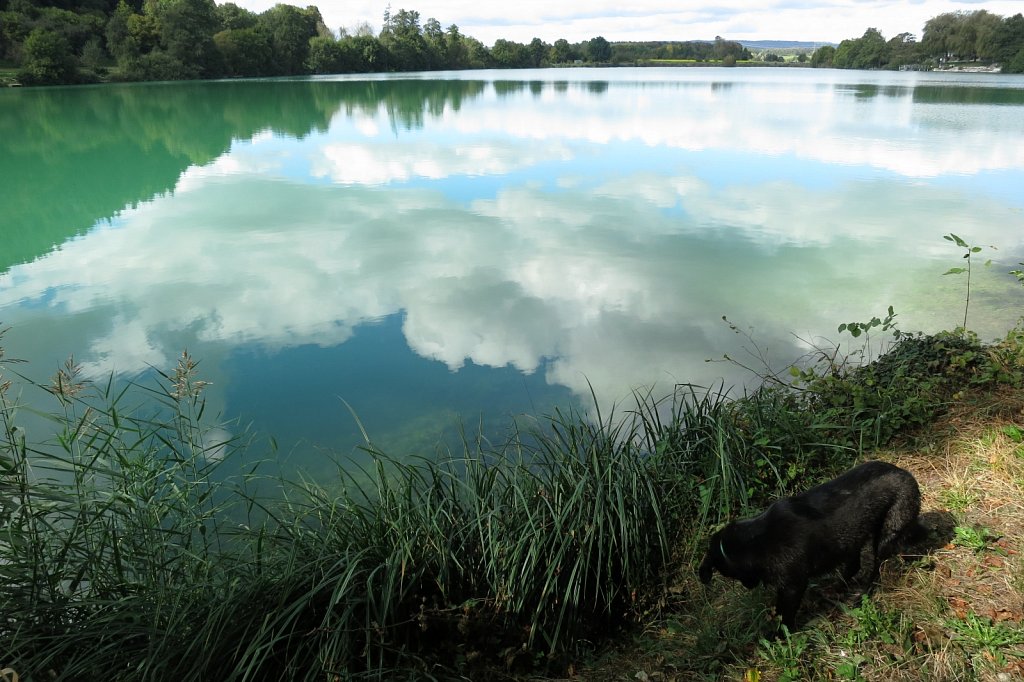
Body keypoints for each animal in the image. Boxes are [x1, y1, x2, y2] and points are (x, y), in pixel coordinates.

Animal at [696, 458, 921, 630]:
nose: (748, 586)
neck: (755, 541)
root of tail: (906, 473)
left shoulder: (792, 586)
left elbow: (785, 615)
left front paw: (780, 635)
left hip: (885, 534)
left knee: (874, 569)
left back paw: (861, 593)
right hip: (852, 538)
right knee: (853, 566)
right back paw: (836, 587)